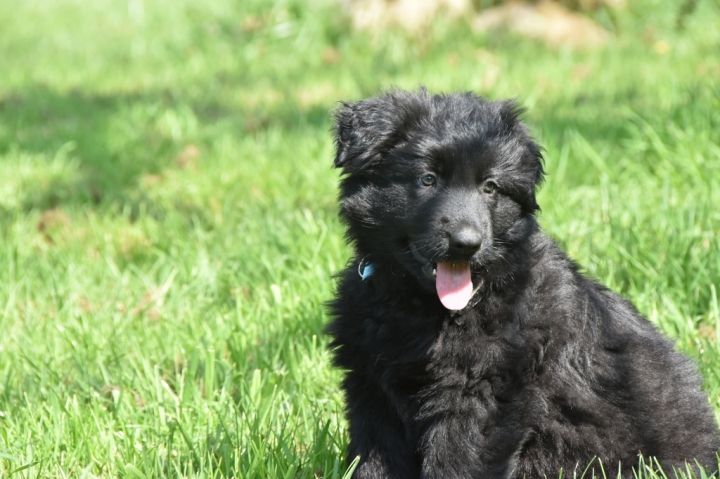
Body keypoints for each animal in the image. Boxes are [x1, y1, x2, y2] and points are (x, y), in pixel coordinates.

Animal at [327, 89, 720, 478]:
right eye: (427, 179)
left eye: (490, 187)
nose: (466, 243)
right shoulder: (372, 392)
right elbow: (375, 461)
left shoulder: (481, 395)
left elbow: (457, 461)